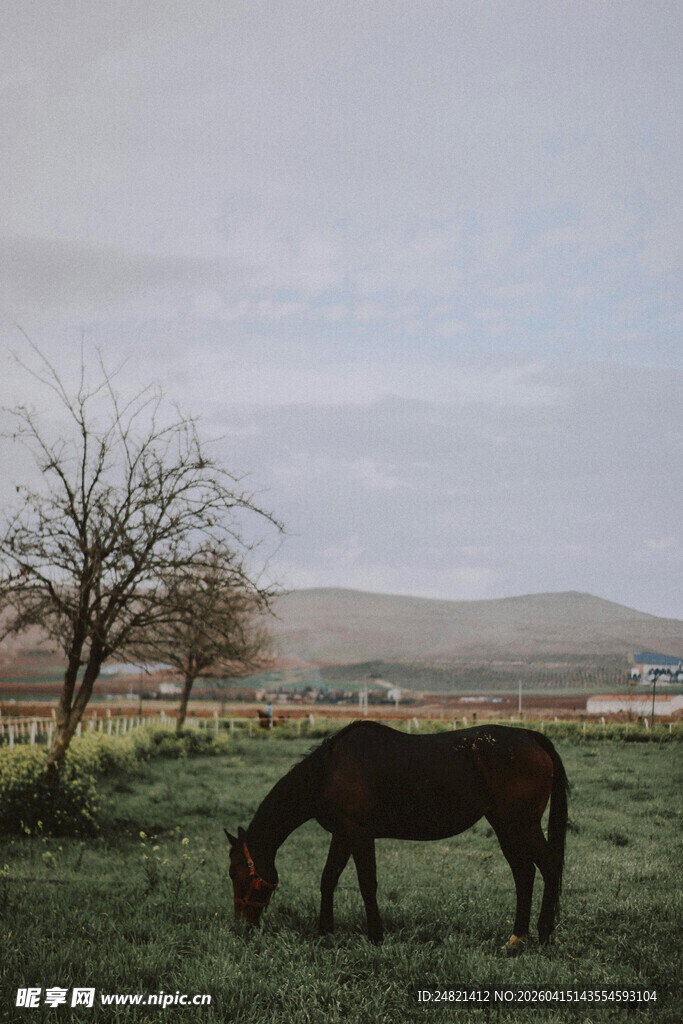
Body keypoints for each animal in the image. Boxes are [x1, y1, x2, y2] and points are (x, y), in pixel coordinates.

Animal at [225, 720, 569, 946]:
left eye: (236, 872)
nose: (240, 926)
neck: (329, 769)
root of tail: (532, 738)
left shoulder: (360, 835)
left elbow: (367, 885)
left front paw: (376, 936)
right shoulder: (342, 835)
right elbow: (328, 879)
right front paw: (325, 931)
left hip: (519, 826)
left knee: (548, 867)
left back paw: (541, 934)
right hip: (508, 828)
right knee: (524, 874)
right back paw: (517, 937)